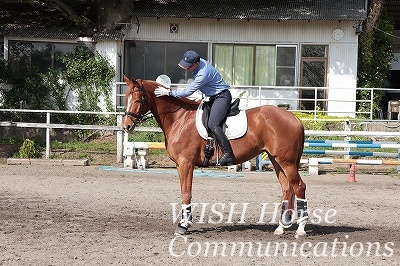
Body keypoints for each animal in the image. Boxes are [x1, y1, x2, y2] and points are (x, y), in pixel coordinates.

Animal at [122, 76, 310, 236]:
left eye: (137, 99)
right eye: (126, 99)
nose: (126, 126)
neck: (179, 118)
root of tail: (294, 118)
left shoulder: (185, 164)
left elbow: (186, 193)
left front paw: (184, 225)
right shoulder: (180, 165)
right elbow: (184, 192)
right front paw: (184, 223)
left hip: (287, 162)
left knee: (299, 187)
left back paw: (301, 228)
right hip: (276, 160)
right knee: (287, 189)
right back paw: (281, 227)